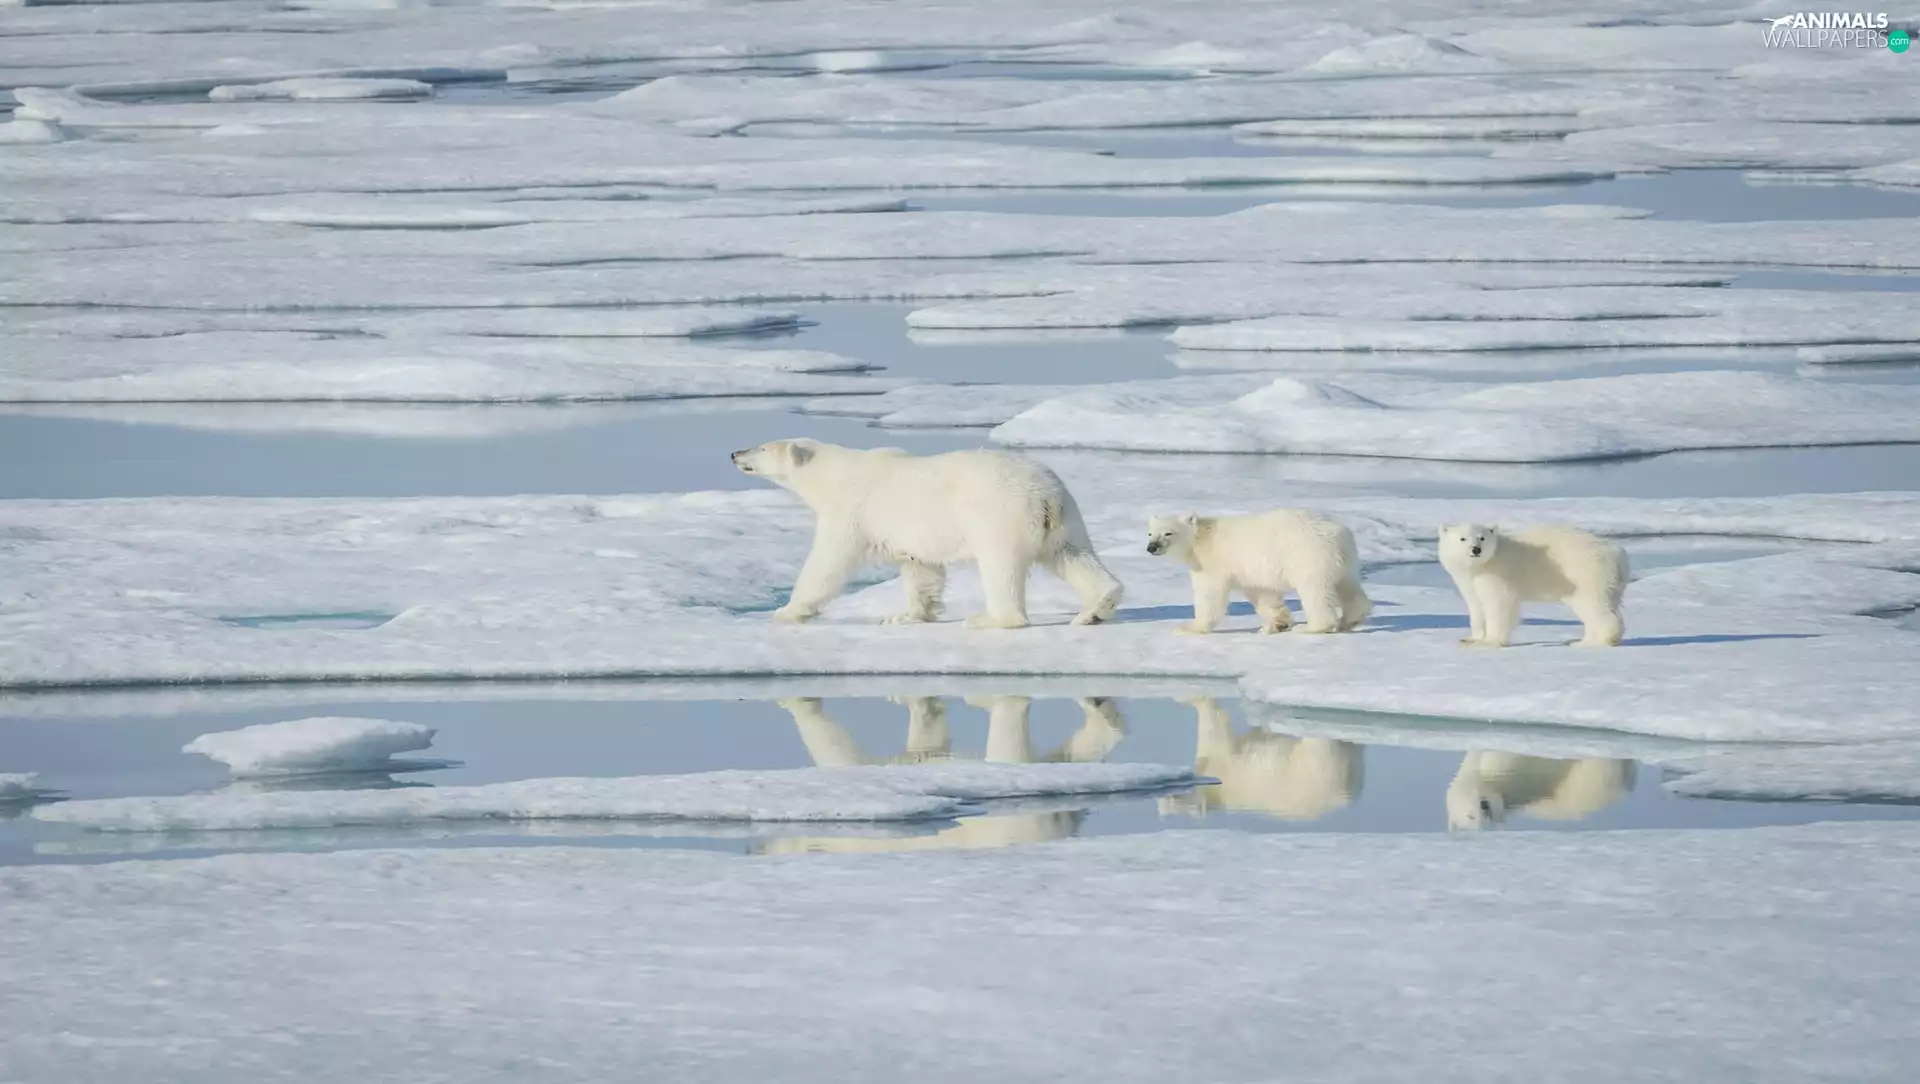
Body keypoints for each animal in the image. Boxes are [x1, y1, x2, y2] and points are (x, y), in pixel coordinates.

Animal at [733, 439, 1123, 629]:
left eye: (762, 446)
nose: (735, 453)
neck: (834, 473)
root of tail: (1044, 494)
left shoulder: (852, 511)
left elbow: (828, 563)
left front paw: (787, 610)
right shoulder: (910, 534)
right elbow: (921, 568)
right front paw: (904, 616)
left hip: (1000, 514)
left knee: (1001, 567)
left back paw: (989, 620)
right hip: (1064, 517)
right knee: (1072, 555)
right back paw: (1096, 609)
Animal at [1144, 509, 1371, 635]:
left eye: (1168, 533)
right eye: (1150, 533)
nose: (1151, 547)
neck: (1200, 539)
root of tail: (1337, 531)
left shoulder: (1212, 563)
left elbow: (1210, 595)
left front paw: (1189, 627)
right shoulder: (1249, 571)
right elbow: (1263, 594)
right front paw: (1276, 624)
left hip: (1307, 554)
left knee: (1314, 590)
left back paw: (1312, 627)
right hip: (1340, 558)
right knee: (1347, 586)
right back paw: (1351, 619)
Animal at [1437, 524, 1627, 648]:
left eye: (1482, 537)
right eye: (1462, 538)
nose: (1476, 549)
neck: (1481, 565)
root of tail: (1617, 553)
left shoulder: (1499, 575)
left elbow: (1499, 604)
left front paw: (1491, 641)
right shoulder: (1469, 581)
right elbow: (1476, 606)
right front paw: (1471, 639)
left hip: (1585, 573)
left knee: (1594, 606)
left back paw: (1594, 642)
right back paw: (1581, 640)